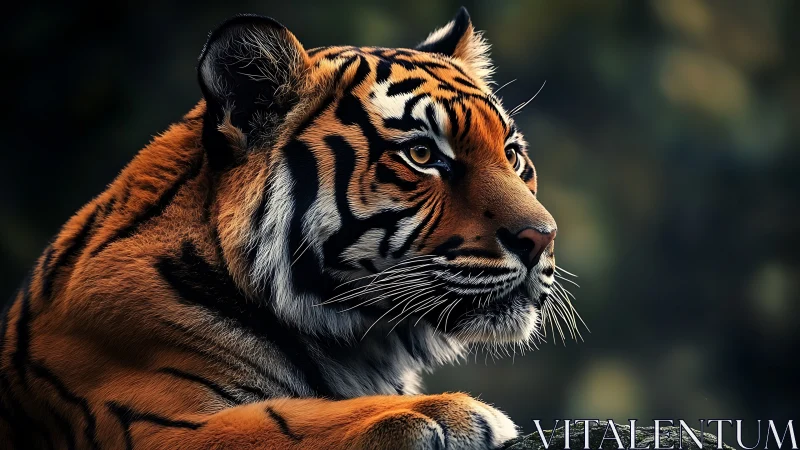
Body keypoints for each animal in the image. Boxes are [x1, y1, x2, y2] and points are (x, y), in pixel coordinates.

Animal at [0, 7, 568, 450]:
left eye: (512, 155)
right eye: (423, 154)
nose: (542, 237)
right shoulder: (144, 419)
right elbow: (285, 421)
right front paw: (441, 413)